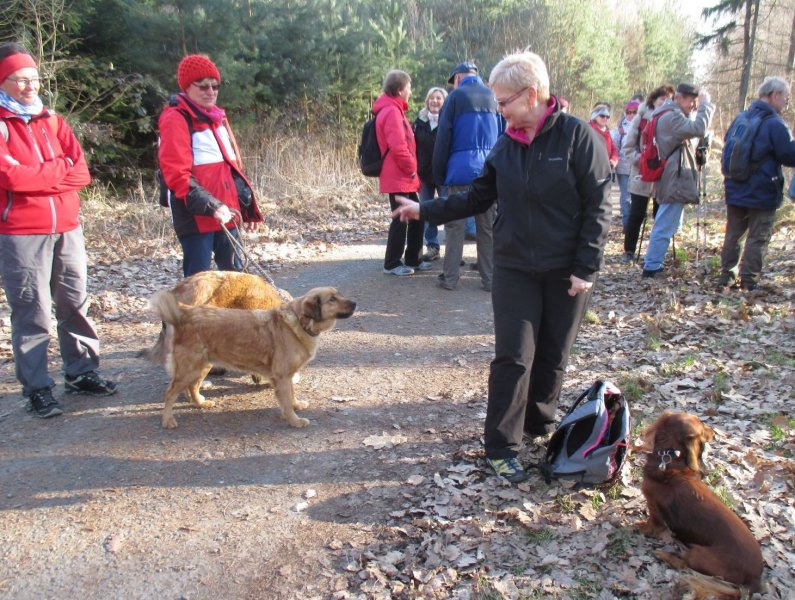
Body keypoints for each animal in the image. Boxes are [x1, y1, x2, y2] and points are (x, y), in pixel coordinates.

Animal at [151, 284, 356, 426]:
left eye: (338, 295)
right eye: (332, 299)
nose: (355, 303)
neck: (299, 321)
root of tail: (185, 312)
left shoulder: (287, 375)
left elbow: (291, 393)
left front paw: (297, 405)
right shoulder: (282, 376)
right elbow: (286, 401)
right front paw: (295, 420)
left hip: (202, 365)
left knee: (192, 387)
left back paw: (200, 403)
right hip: (190, 367)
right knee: (170, 392)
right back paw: (167, 420)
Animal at [636, 412, 760, 596]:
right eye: (702, 427)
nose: (713, 432)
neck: (670, 459)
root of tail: (755, 579)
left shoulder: (653, 506)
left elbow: (650, 524)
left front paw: (638, 527)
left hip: (698, 553)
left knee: (683, 564)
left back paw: (665, 555)